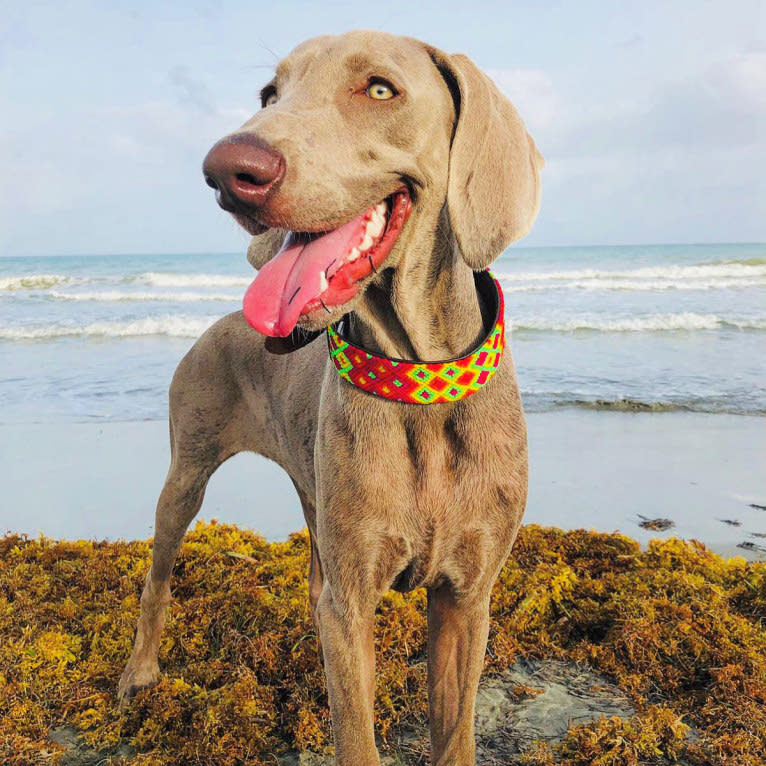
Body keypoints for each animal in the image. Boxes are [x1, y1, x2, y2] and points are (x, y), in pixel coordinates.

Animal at [117, 30, 544, 766]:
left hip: (314, 497)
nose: (228, 169)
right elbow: (356, 730)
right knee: (159, 575)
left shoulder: (467, 595)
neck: (419, 388)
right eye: (270, 94)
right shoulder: (353, 600)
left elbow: (453, 729)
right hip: (187, 472)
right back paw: (139, 672)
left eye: (379, 89)